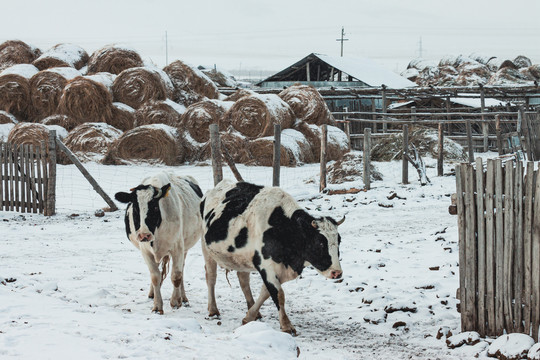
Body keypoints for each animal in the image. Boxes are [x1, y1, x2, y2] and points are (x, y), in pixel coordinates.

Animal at [115, 173, 204, 314]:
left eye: (155, 207)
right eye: (135, 208)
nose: (144, 235)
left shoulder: (178, 248)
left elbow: (176, 276)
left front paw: (175, 301)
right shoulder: (145, 251)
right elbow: (155, 276)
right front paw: (157, 306)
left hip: (185, 247)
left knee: (181, 270)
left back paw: (183, 298)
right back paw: (152, 293)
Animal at [200, 180, 344, 334]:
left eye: (339, 241)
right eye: (320, 243)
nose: (337, 273)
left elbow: (266, 293)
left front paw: (249, 316)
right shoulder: (266, 265)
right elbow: (278, 294)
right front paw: (286, 325)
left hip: (242, 259)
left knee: (243, 281)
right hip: (206, 249)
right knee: (211, 278)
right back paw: (213, 310)